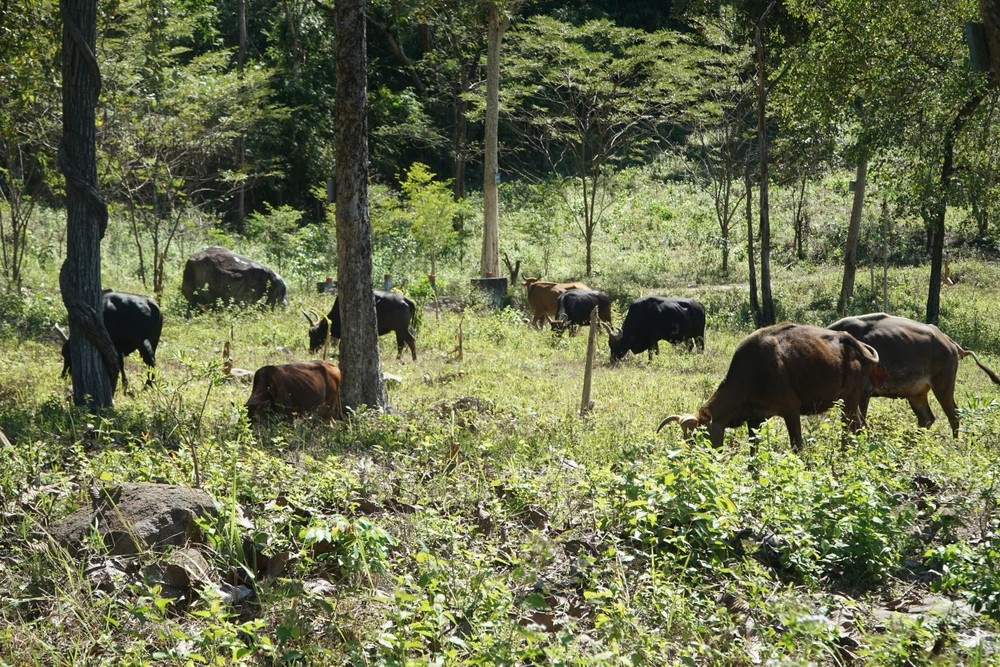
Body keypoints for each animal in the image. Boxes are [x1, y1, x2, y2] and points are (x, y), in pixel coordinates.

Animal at [656, 322, 884, 452]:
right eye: (686, 439)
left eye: (699, 437)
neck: (753, 372)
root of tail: (858, 346)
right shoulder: (755, 419)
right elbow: (753, 452)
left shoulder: (791, 412)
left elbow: (797, 447)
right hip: (852, 401)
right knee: (859, 426)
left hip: (849, 400)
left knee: (850, 429)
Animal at [828, 314, 1000, 438]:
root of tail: (950, 343)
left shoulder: (864, 392)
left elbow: (857, 424)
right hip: (916, 394)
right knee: (927, 418)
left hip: (943, 386)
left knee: (953, 415)